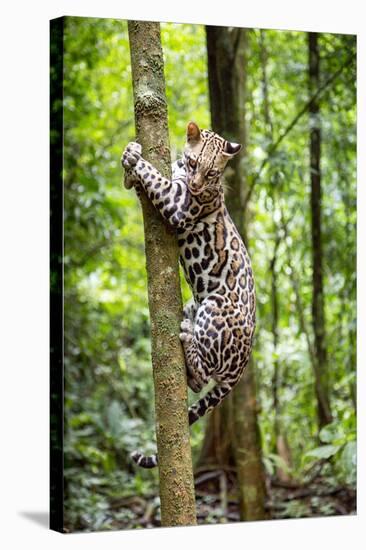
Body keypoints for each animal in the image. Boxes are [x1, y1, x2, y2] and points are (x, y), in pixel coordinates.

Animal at [121, 123, 256, 468]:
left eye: (212, 174)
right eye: (195, 164)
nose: (196, 185)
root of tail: (242, 369)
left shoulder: (178, 204)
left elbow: (155, 178)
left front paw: (136, 160)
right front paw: (129, 158)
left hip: (213, 305)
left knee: (206, 370)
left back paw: (186, 339)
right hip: (194, 304)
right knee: (197, 381)